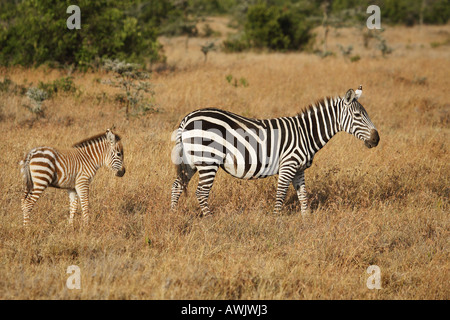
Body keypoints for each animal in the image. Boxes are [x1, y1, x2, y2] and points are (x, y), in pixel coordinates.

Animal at [172, 86, 380, 216]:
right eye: (358, 115)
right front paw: (276, 220)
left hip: (190, 161)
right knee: (201, 192)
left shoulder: (299, 169)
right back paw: (210, 220)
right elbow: (281, 194)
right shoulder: (288, 165)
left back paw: (174, 214)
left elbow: (303, 195)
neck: (306, 133)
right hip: (207, 161)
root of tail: (188, 118)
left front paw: (306, 220)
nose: (376, 139)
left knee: (177, 185)